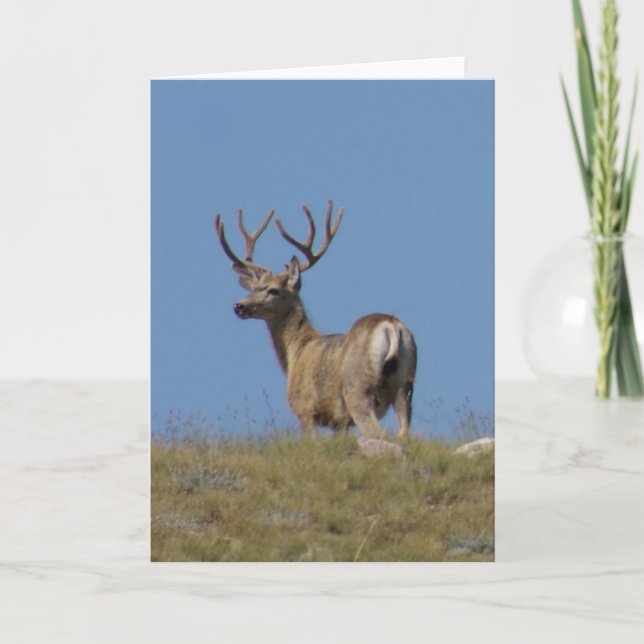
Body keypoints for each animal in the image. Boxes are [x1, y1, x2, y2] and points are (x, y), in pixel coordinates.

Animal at [214, 200, 417, 440]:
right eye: (254, 288)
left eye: (273, 290)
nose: (239, 306)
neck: (297, 351)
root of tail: (390, 325)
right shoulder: (340, 422)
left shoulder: (304, 407)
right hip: (406, 385)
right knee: (404, 432)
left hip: (358, 388)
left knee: (377, 431)